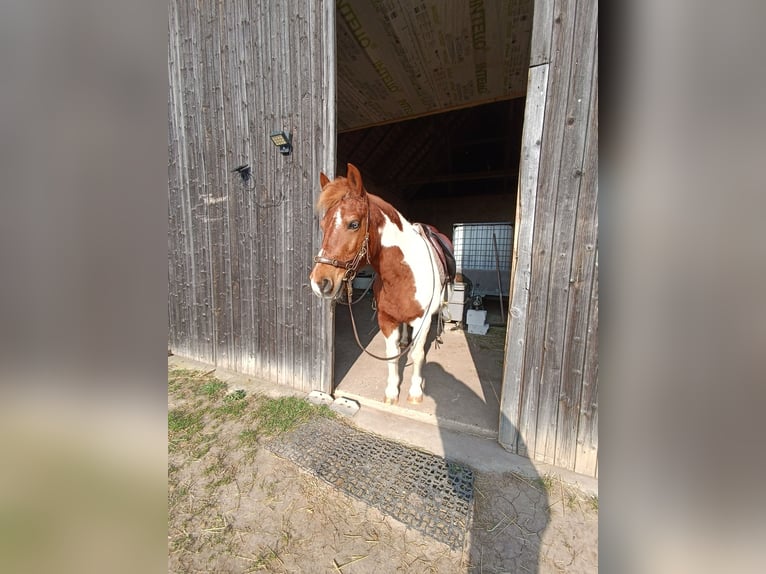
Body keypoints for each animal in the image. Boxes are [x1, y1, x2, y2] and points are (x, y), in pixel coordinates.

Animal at [310, 162, 456, 404]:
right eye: (323, 224)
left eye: (353, 224)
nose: (319, 282)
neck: (403, 275)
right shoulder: (386, 320)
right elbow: (392, 354)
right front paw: (391, 392)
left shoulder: (423, 321)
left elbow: (418, 354)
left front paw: (415, 393)